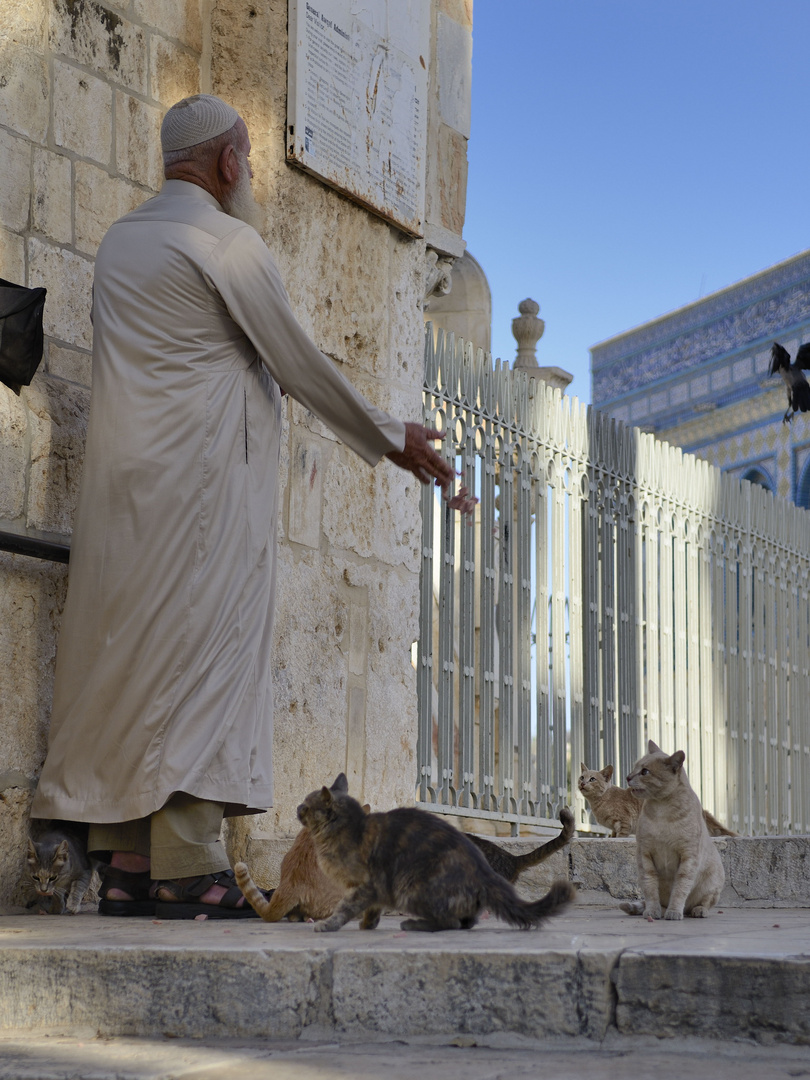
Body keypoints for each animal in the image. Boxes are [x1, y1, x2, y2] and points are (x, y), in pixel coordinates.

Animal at [578, 764, 738, 838]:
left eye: (592, 779)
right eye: (581, 777)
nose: (583, 783)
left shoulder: (624, 821)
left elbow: (620, 835)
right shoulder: (613, 827)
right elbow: (612, 834)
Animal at [617, 743, 725, 920]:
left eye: (645, 771)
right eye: (634, 767)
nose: (627, 777)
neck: (662, 811)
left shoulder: (688, 857)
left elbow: (680, 889)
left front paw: (674, 912)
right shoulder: (645, 856)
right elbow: (650, 889)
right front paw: (652, 911)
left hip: (712, 883)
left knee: (703, 903)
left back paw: (697, 911)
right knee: (656, 902)